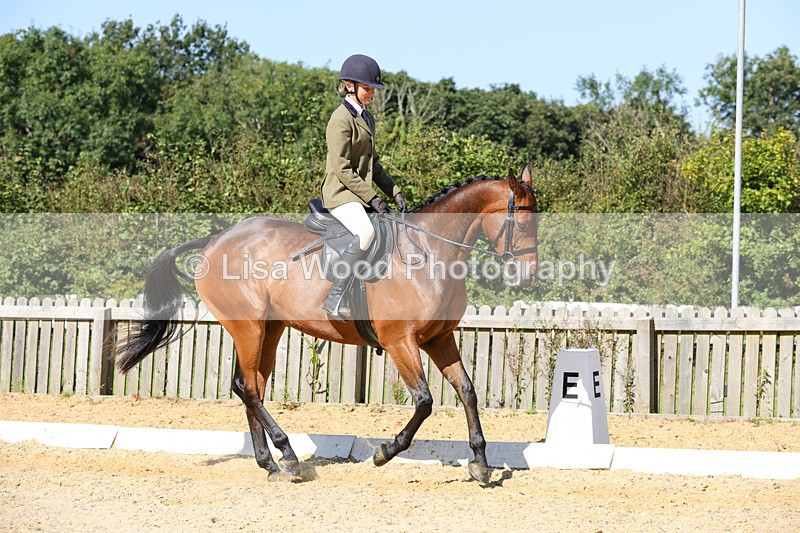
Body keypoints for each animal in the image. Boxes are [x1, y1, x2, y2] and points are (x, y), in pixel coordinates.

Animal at [116, 164, 538, 483]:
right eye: (521, 225)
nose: (528, 278)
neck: (428, 252)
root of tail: (216, 239)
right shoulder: (400, 341)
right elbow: (424, 401)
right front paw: (385, 451)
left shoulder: (439, 339)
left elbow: (467, 391)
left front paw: (480, 463)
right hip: (248, 327)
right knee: (248, 388)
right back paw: (287, 455)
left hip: (269, 329)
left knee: (250, 387)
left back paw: (270, 463)